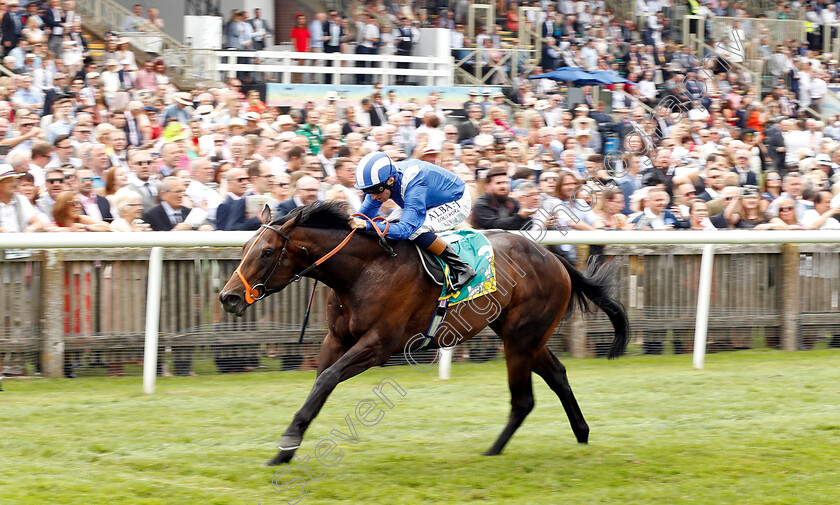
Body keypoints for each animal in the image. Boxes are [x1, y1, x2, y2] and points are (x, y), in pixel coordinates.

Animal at [220, 201, 628, 464]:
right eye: (245, 246)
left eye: (267, 252)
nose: (228, 297)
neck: (361, 271)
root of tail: (555, 258)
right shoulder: (336, 339)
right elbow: (320, 384)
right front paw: (287, 448)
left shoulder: (379, 344)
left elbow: (327, 379)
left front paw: (288, 441)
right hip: (521, 334)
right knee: (557, 375)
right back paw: (581, 433)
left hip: (521, 336)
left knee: (523, 399)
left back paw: (493, 450)